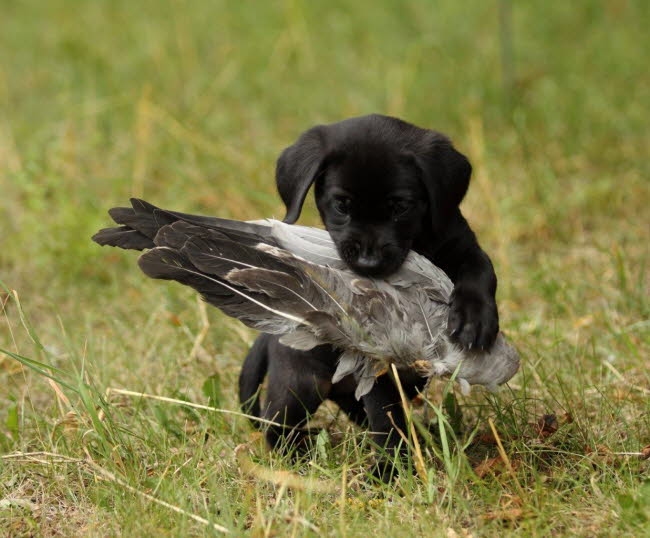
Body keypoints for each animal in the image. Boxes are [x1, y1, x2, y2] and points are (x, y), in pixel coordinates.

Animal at [238, 114, 496, 468]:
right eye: (341, 206)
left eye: (400, 206)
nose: (368, 262)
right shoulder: (377, 367)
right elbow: (385, 418)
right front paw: (392, 469)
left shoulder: (464, 246)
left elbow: (479, 275)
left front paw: (474, 321)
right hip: (299, 383)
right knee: (276, 424)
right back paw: (300, 453)